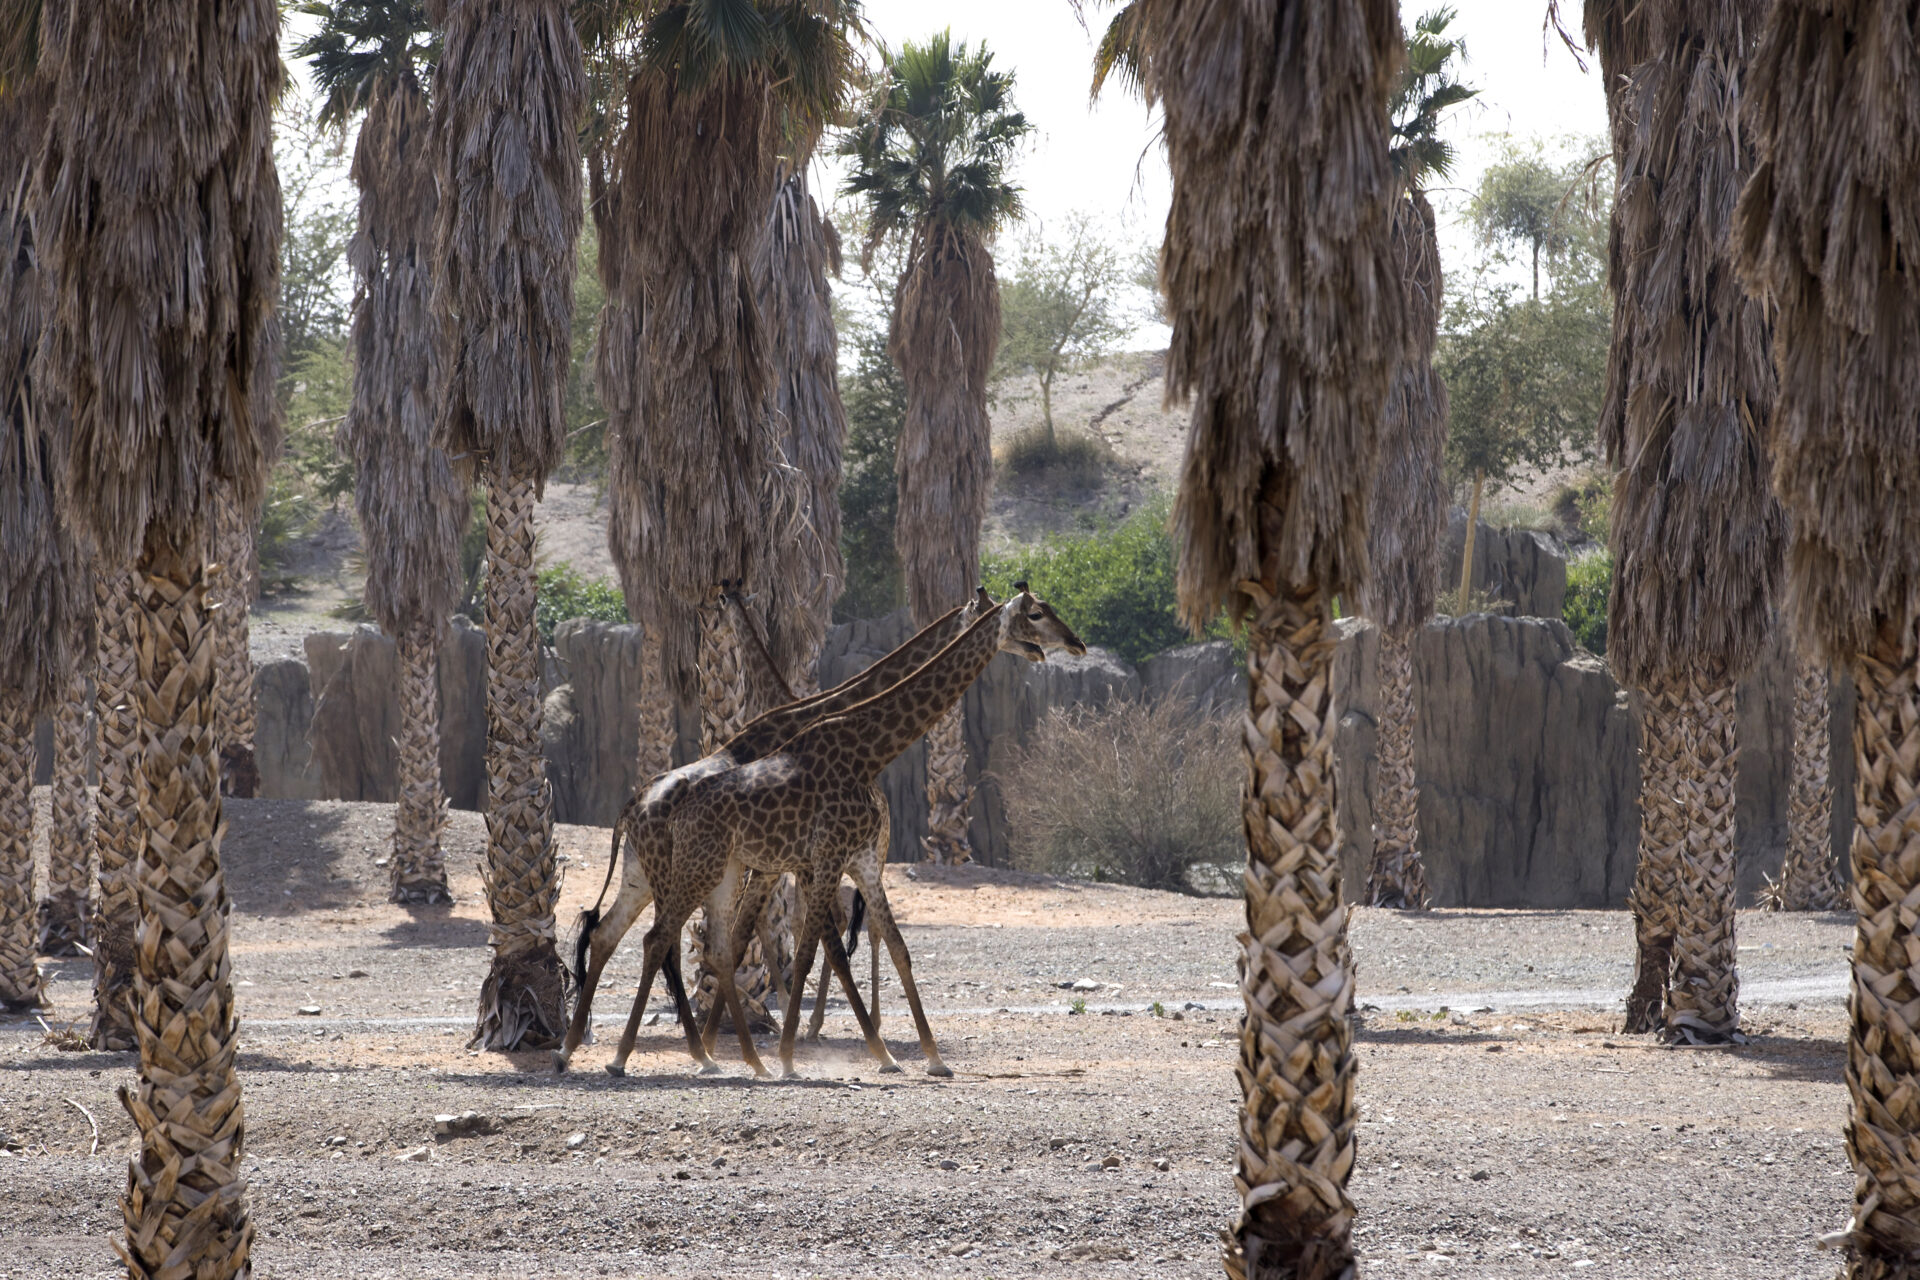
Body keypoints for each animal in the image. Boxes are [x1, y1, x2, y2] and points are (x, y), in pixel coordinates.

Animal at [599, 587, 1082, 1082]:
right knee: (663, 939)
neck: (865, 750)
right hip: (696, 870)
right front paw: (793, 1054)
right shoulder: (821, 858)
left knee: (630, 935)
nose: (1076, 643)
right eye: (1036, 614)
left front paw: (928, 1057)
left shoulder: (852, 862)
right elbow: (812, 949)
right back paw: (642, 1056)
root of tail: (632, 809)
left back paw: (700, 1052)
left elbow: (891, 947)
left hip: (690, 874)